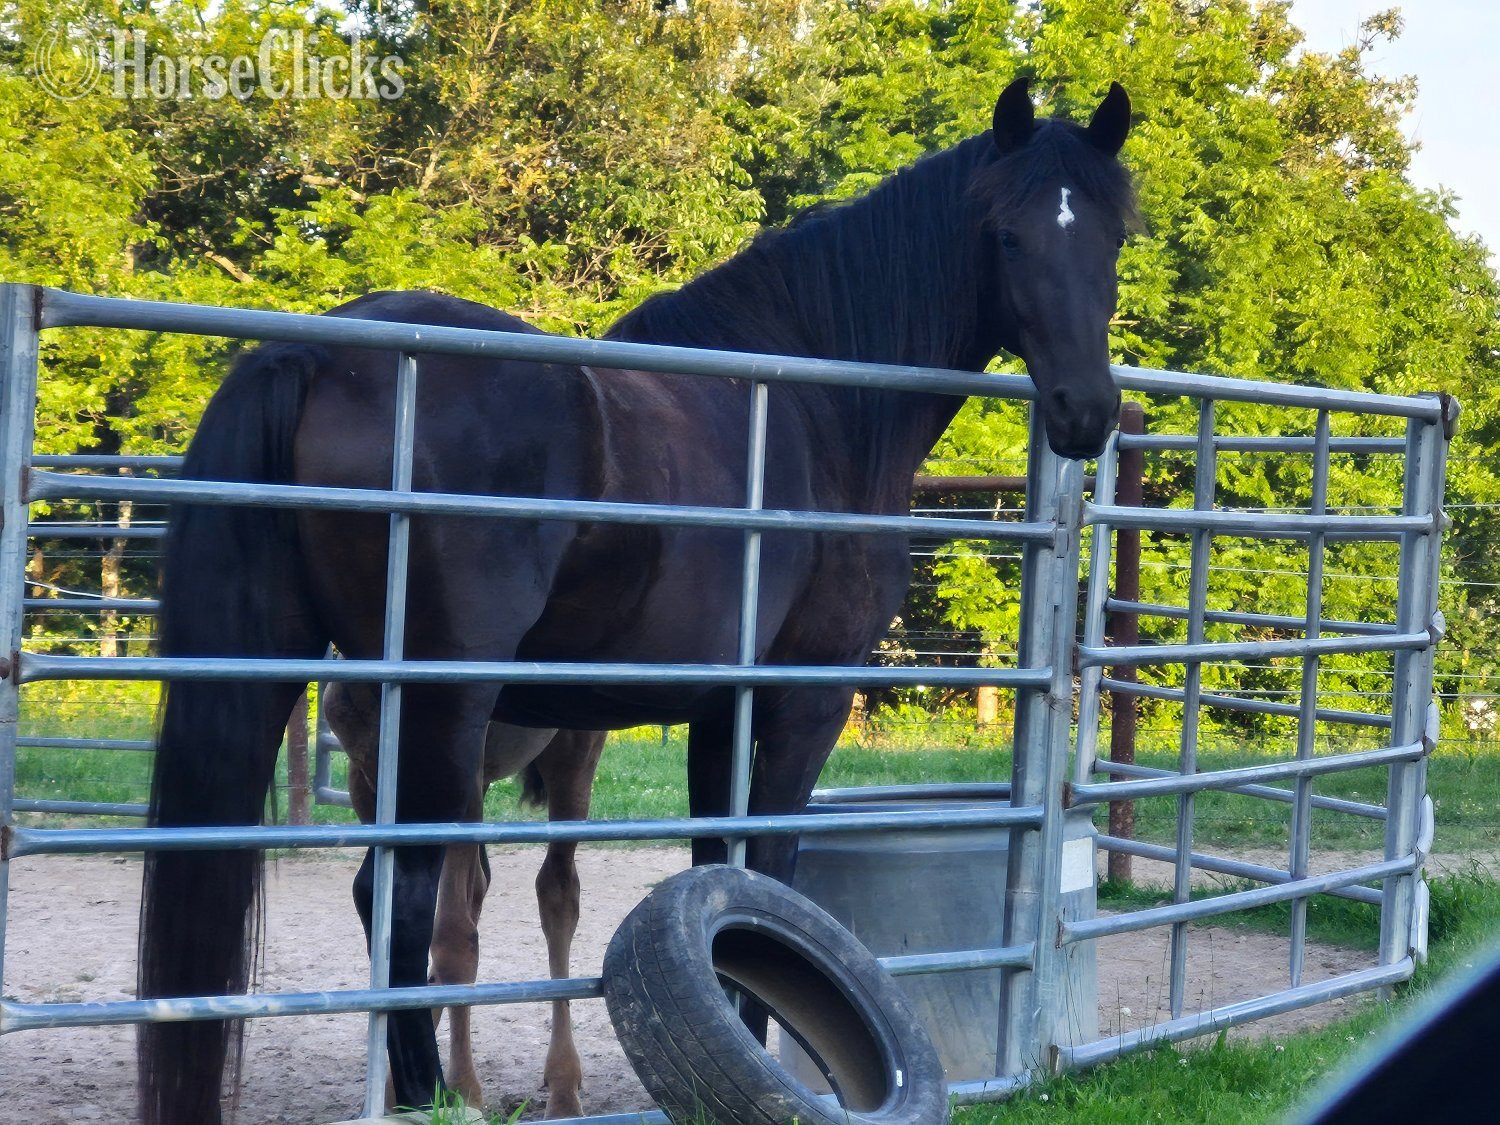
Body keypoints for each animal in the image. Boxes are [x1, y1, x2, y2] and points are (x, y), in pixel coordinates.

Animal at [323, 681, 605, 1116]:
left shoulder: (460, 780)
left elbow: (454, 937)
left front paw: (461, 1090)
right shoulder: (368, 777)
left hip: (574, 747)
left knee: (557, 891)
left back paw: (563, 1093)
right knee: (478, 890)